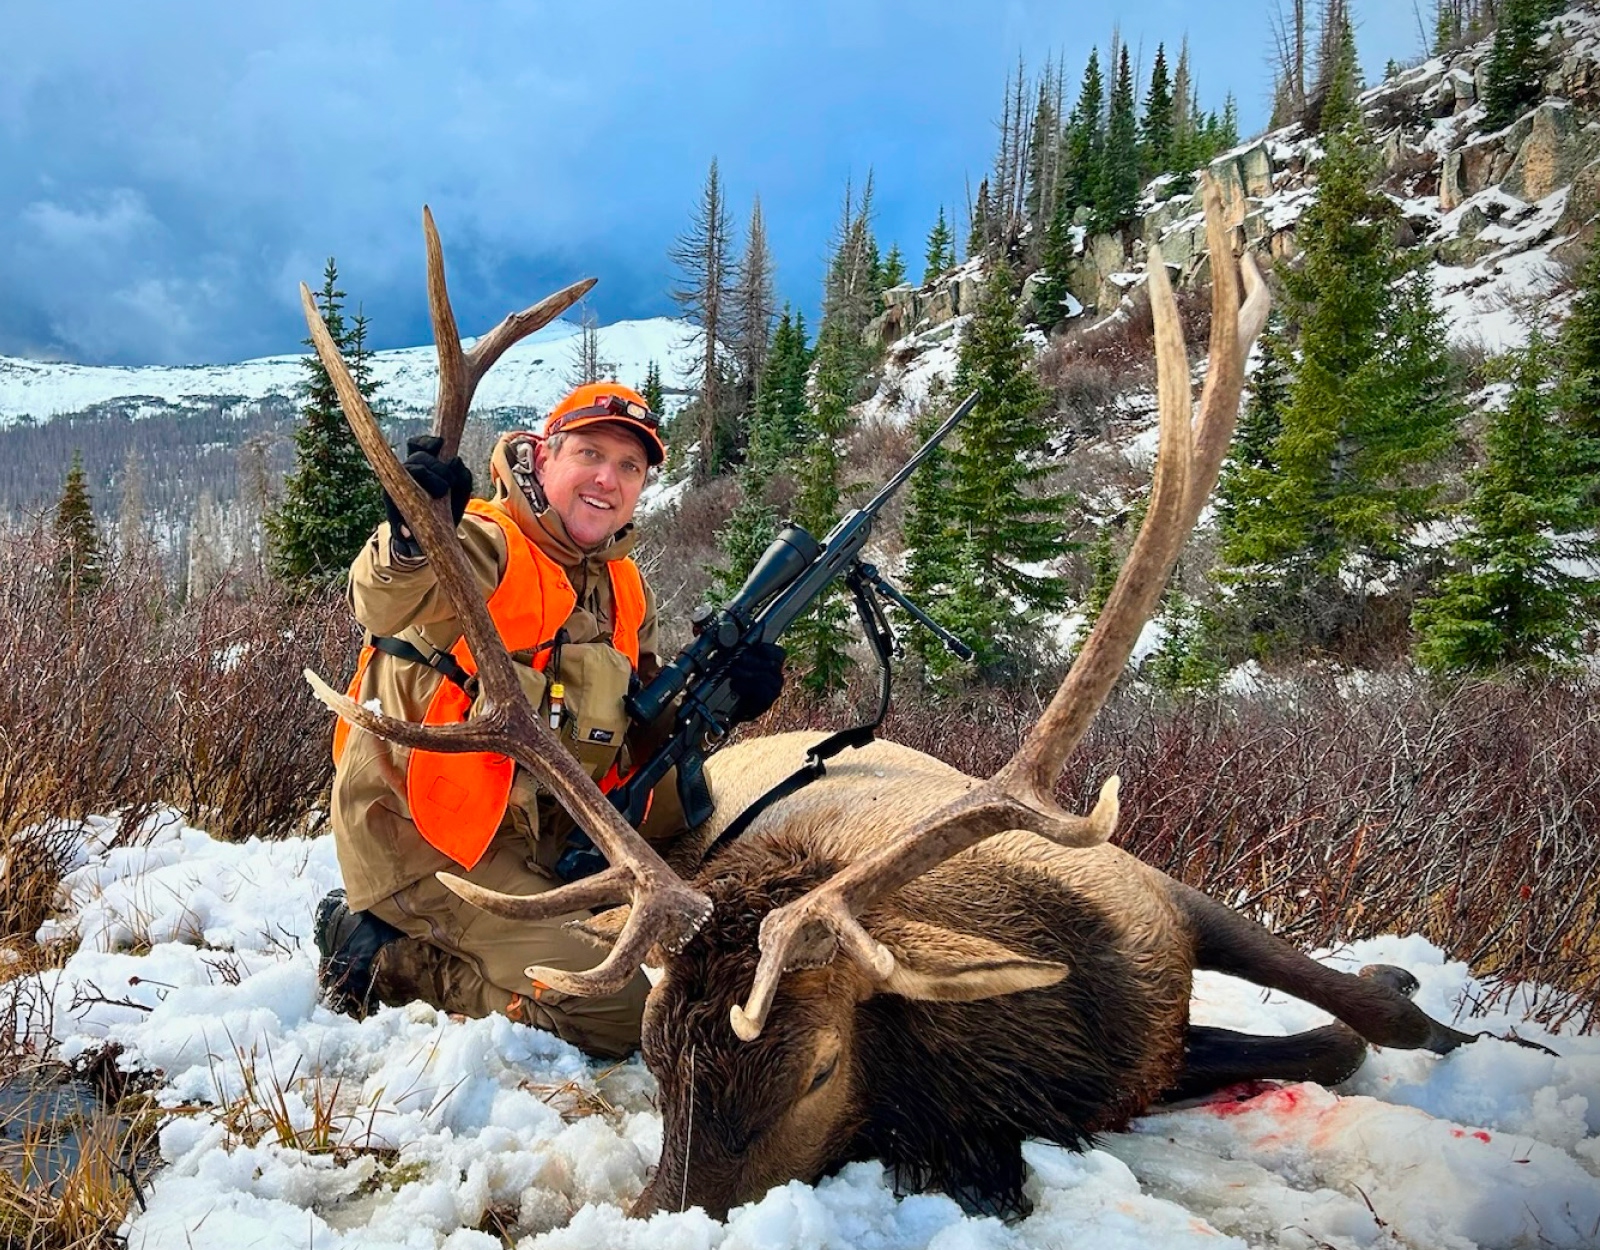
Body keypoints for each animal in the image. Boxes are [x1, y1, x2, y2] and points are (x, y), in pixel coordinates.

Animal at [305, 182, 1483, 1223]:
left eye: (821, 1070)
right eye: (656, 1055)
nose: (663, 1213)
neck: (1070, 1041)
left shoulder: (1150, 891)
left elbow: (1356, 1016)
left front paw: (1431, 1012)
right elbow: (1326, 1040)